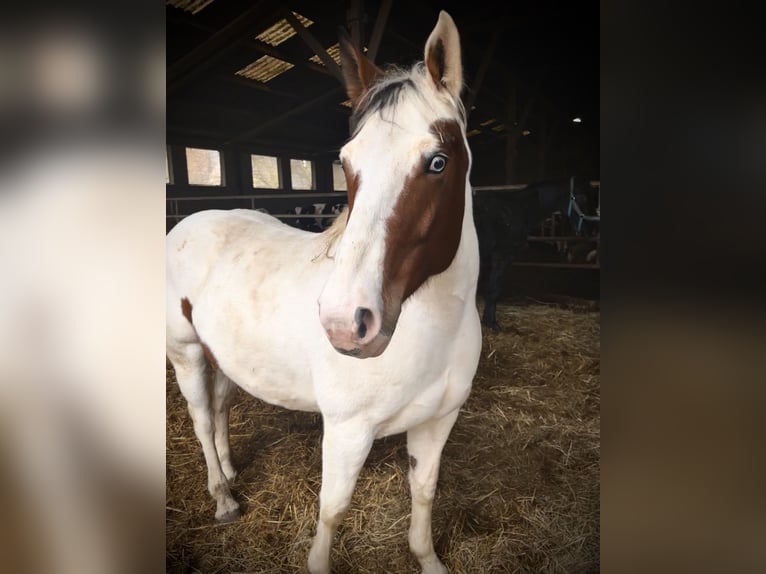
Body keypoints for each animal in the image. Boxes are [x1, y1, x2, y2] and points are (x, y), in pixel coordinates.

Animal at [166, 11, 480, 574]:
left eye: (439, 162)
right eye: (346, 162)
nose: (344, 322)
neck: (435, 332)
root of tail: (187, 223)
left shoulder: (439, 421)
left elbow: (424, 492)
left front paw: (428, 559)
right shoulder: (348, 431)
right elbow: (332, 510)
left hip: (219, 355)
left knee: (220, 409)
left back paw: (230, 472)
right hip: (185, 355)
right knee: (201, 420)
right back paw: (223, 498)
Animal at [474, 177, 599, 330]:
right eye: (582, 197)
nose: (592, 231)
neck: (516, 211)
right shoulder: (502, 255)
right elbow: (494, 288)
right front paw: (492, 324)